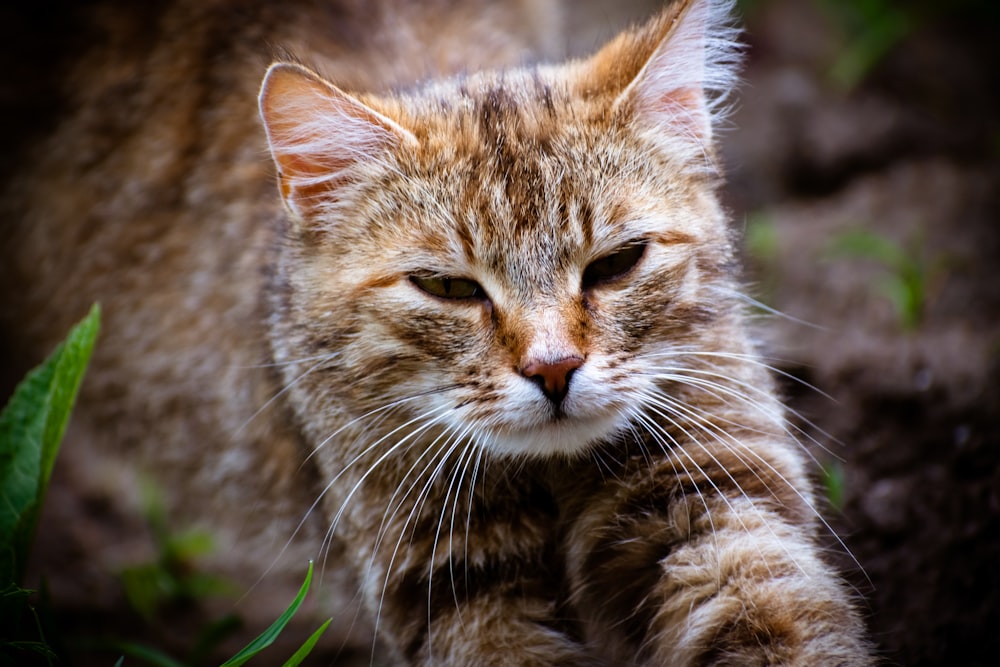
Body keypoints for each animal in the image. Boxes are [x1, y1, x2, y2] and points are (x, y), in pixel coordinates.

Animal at [0, 0, 872, 664]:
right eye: (449, 287)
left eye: (616, 264)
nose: (554, 367)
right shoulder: (452, 586)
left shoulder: (716, 496)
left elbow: (780, 621)